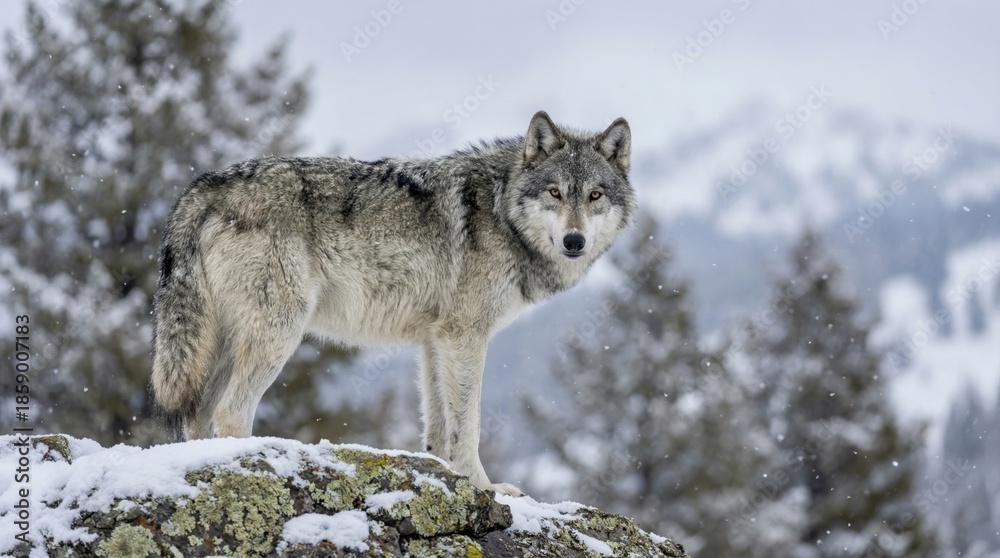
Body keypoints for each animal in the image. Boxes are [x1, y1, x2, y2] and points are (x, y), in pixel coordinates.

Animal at [150, 111, 635, 496]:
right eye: (555, 192)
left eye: (595, 195)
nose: (575, 241)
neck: (502, 212)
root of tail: (205, 186)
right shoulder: (465, 337)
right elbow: (469, 425)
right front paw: (486, 488)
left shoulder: (435, 341)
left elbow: (440, 428)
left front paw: (450, 478)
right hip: (277, 334)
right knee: (230, 412)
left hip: (225, 343)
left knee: (198, 416)